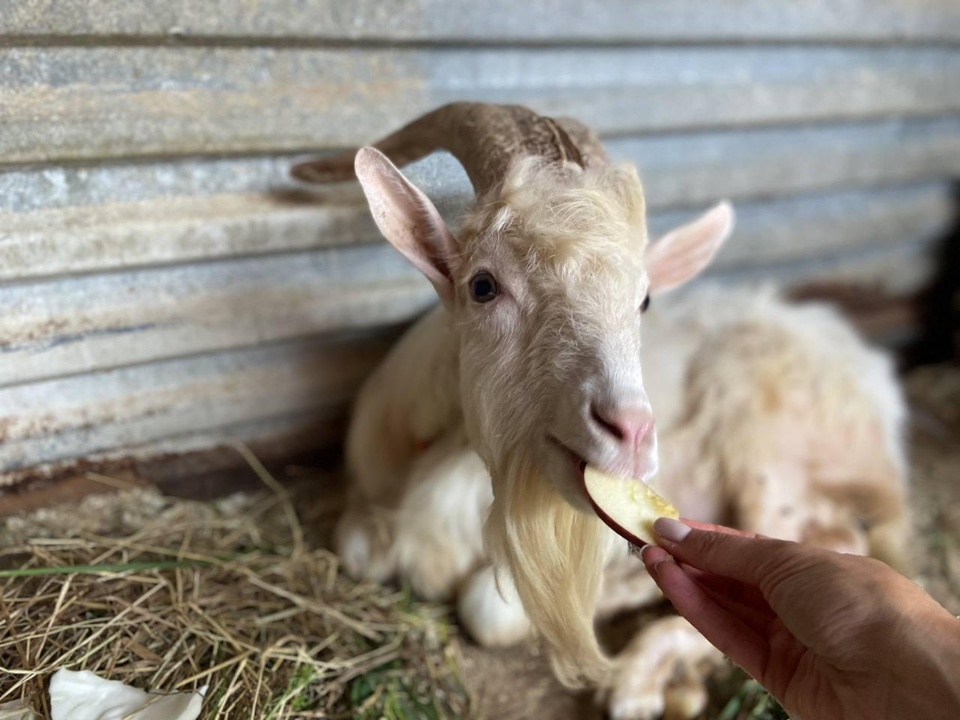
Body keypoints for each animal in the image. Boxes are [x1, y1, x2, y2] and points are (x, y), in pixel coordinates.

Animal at [292, 102, 908, 720]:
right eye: (483, 285)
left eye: (644, 299)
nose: (631, 432)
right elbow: (357, 550)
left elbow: (485, 609)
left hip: (769, 445)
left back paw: (638, 682)